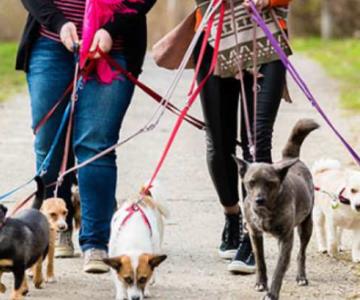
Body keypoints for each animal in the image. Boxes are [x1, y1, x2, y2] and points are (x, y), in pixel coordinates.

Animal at [235, 119, 320, 300]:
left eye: (270, 183)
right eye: (251, 182)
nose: (259, 200)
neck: (266, 212)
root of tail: (291, 159)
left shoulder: (287, 237)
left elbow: (279, 268)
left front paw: (272, 293)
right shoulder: (254, 234)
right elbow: (260, 261)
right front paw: (260, 283)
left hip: (306, 226)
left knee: (301, 254)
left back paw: (301, 277)